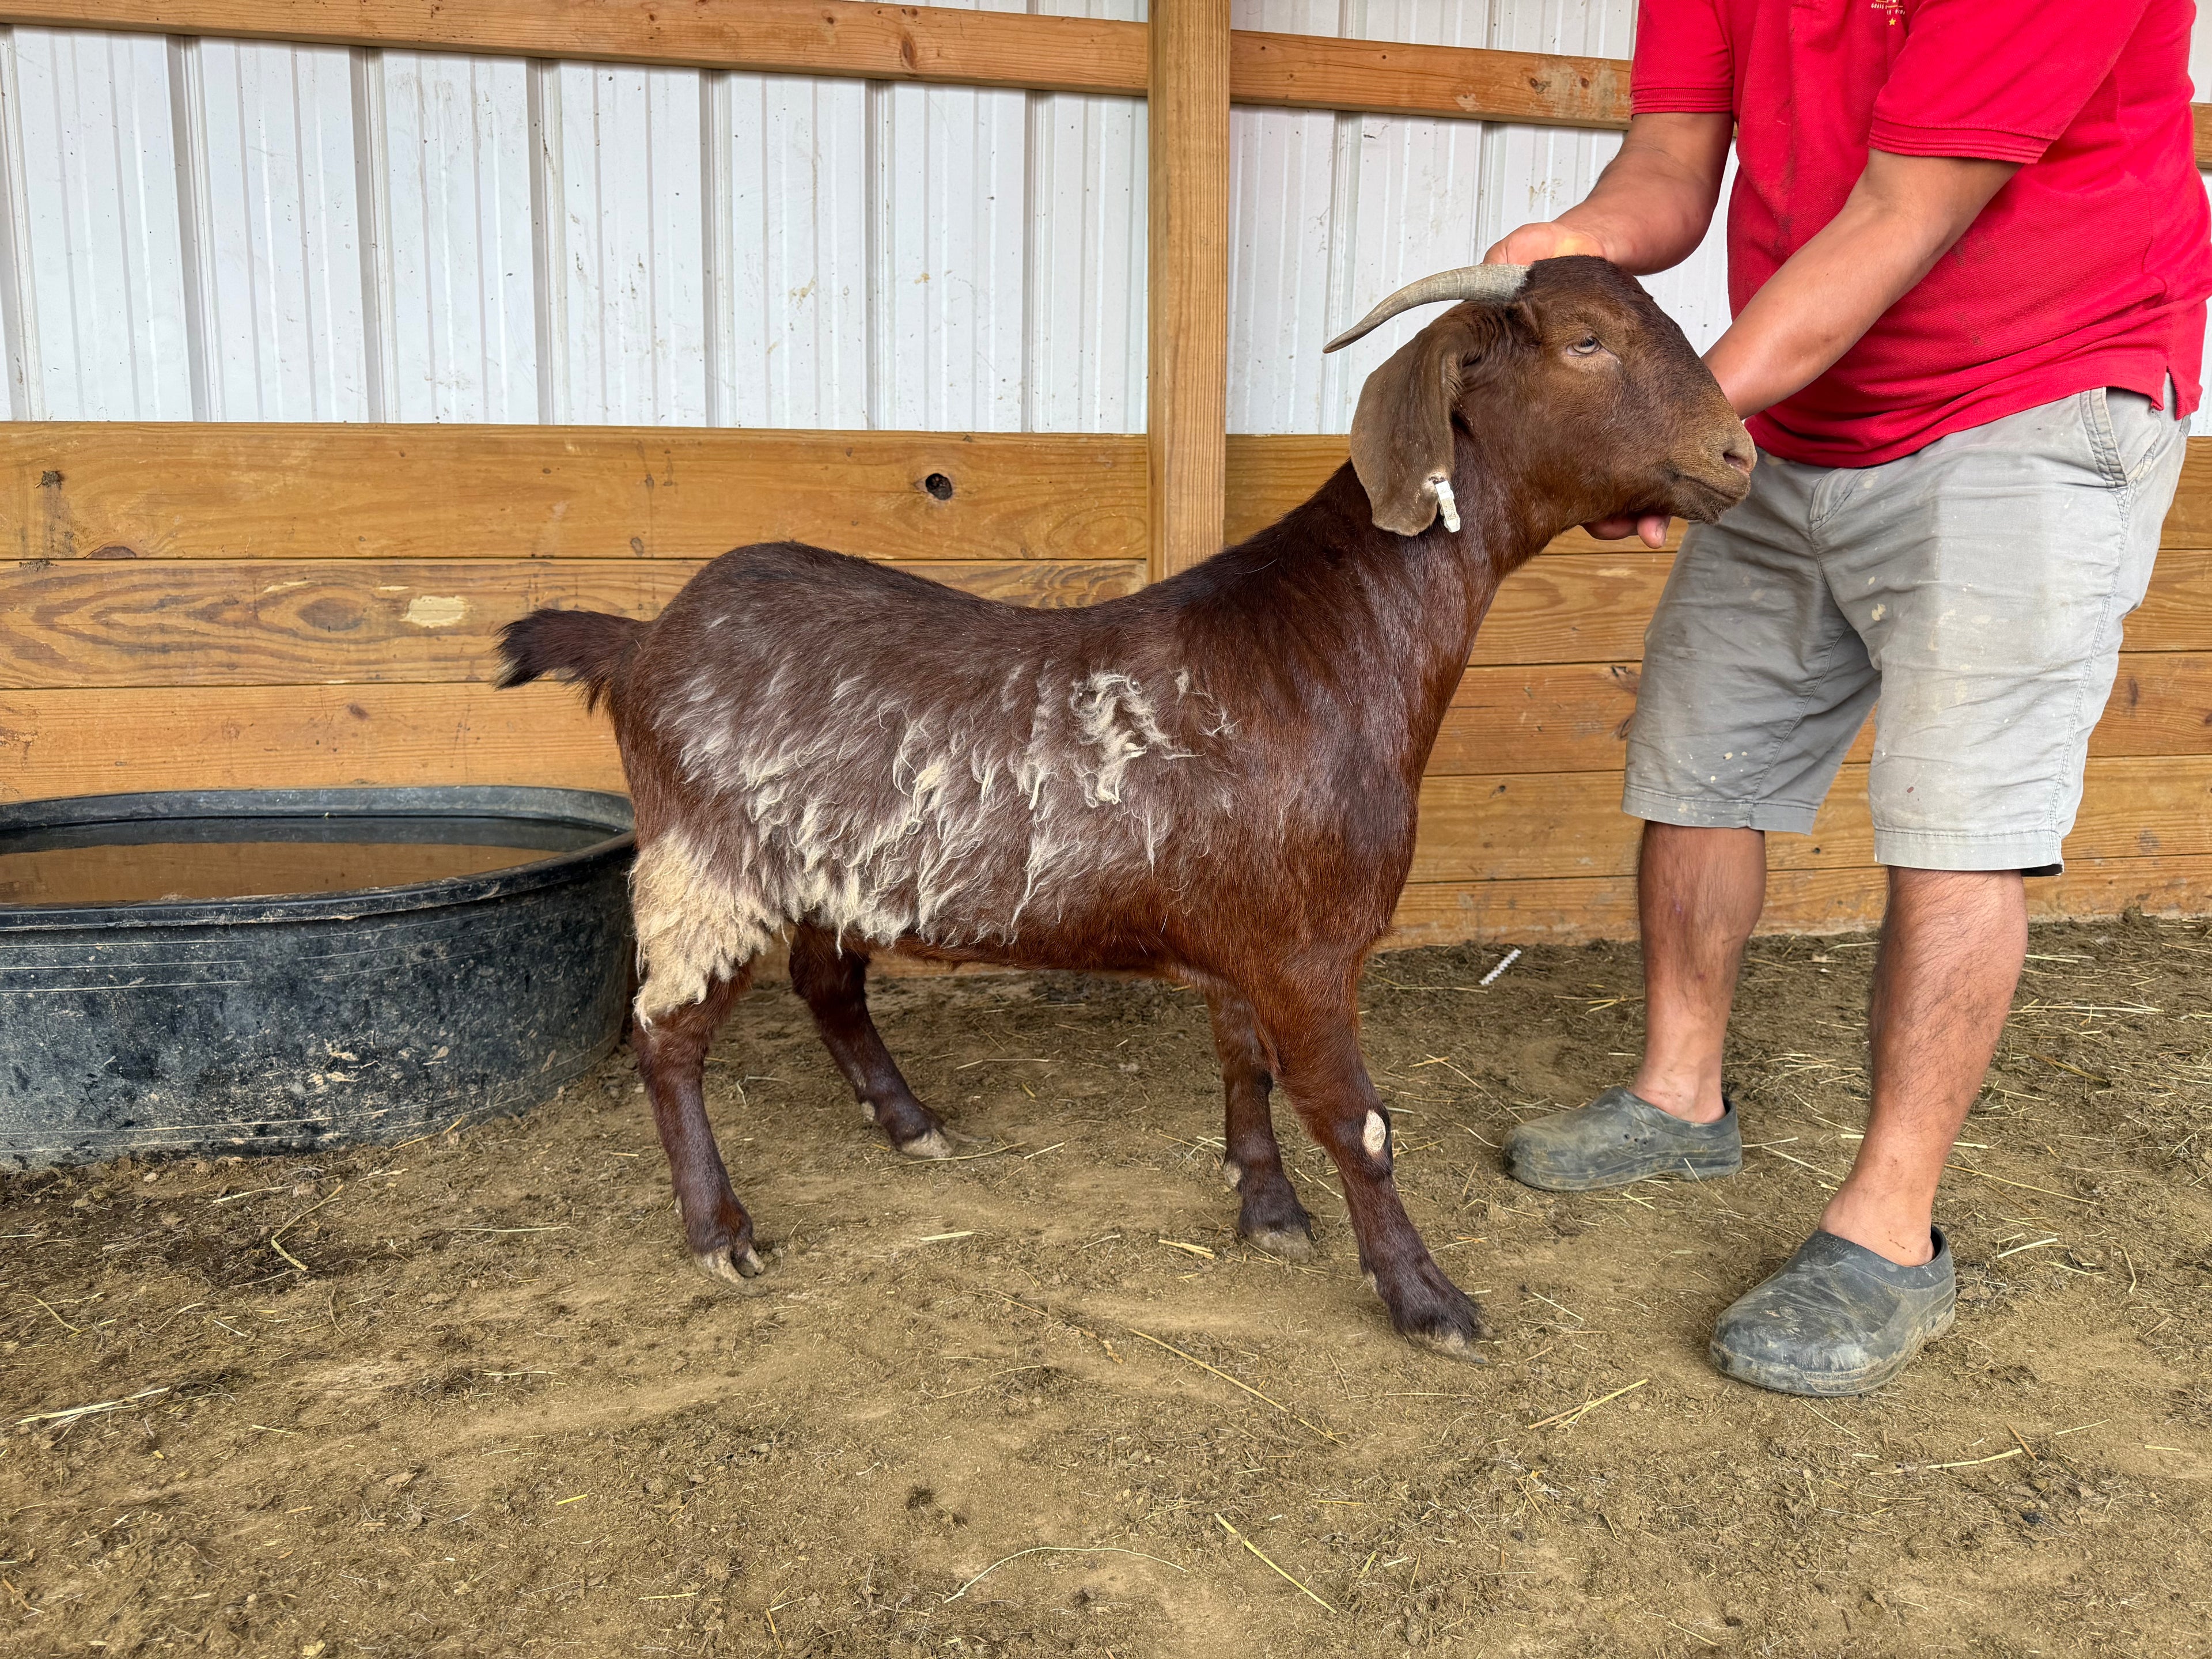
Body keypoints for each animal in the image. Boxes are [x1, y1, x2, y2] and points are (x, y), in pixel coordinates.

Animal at [498, 256, 1752, 1358]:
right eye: (1586, 341)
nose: (1737, 453)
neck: (1322, 646)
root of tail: (644, 641)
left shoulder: (1251, 933)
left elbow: (1244, 1065)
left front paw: (1268, 1211)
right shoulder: (1310, 946)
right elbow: (1359, 1121)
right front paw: (1426, 1299)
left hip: (825, 866)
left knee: (825, 983)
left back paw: (908, 1122)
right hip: (709, 864)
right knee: (668, 1038)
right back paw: (720, 1230)